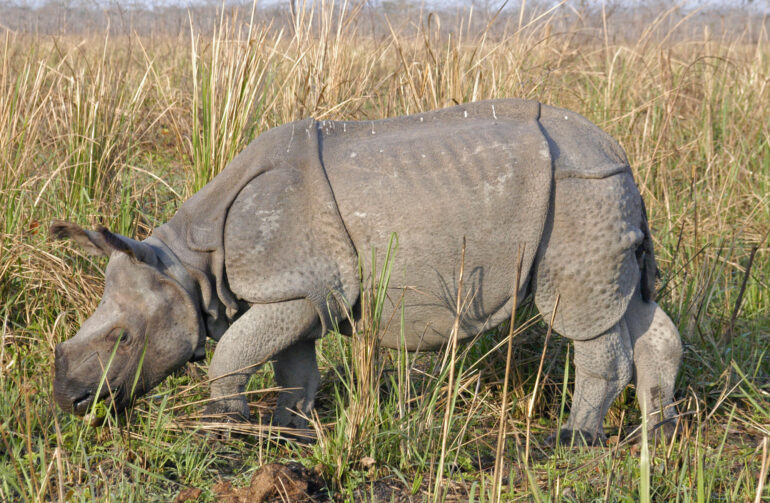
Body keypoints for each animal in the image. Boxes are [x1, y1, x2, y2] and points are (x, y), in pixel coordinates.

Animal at [51, 98, 682, 445]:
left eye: (122, 338)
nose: (69, 400)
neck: (190, 265)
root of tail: (620, 155)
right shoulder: (301, 290)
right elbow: (293, 367)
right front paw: (288, 430)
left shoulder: (296, 289)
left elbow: (232, 353)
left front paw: (223, 426)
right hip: (600, 193)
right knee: (635, 308)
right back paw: (656, 433)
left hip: (578, 192)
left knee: (583, 319)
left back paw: (575, 439)